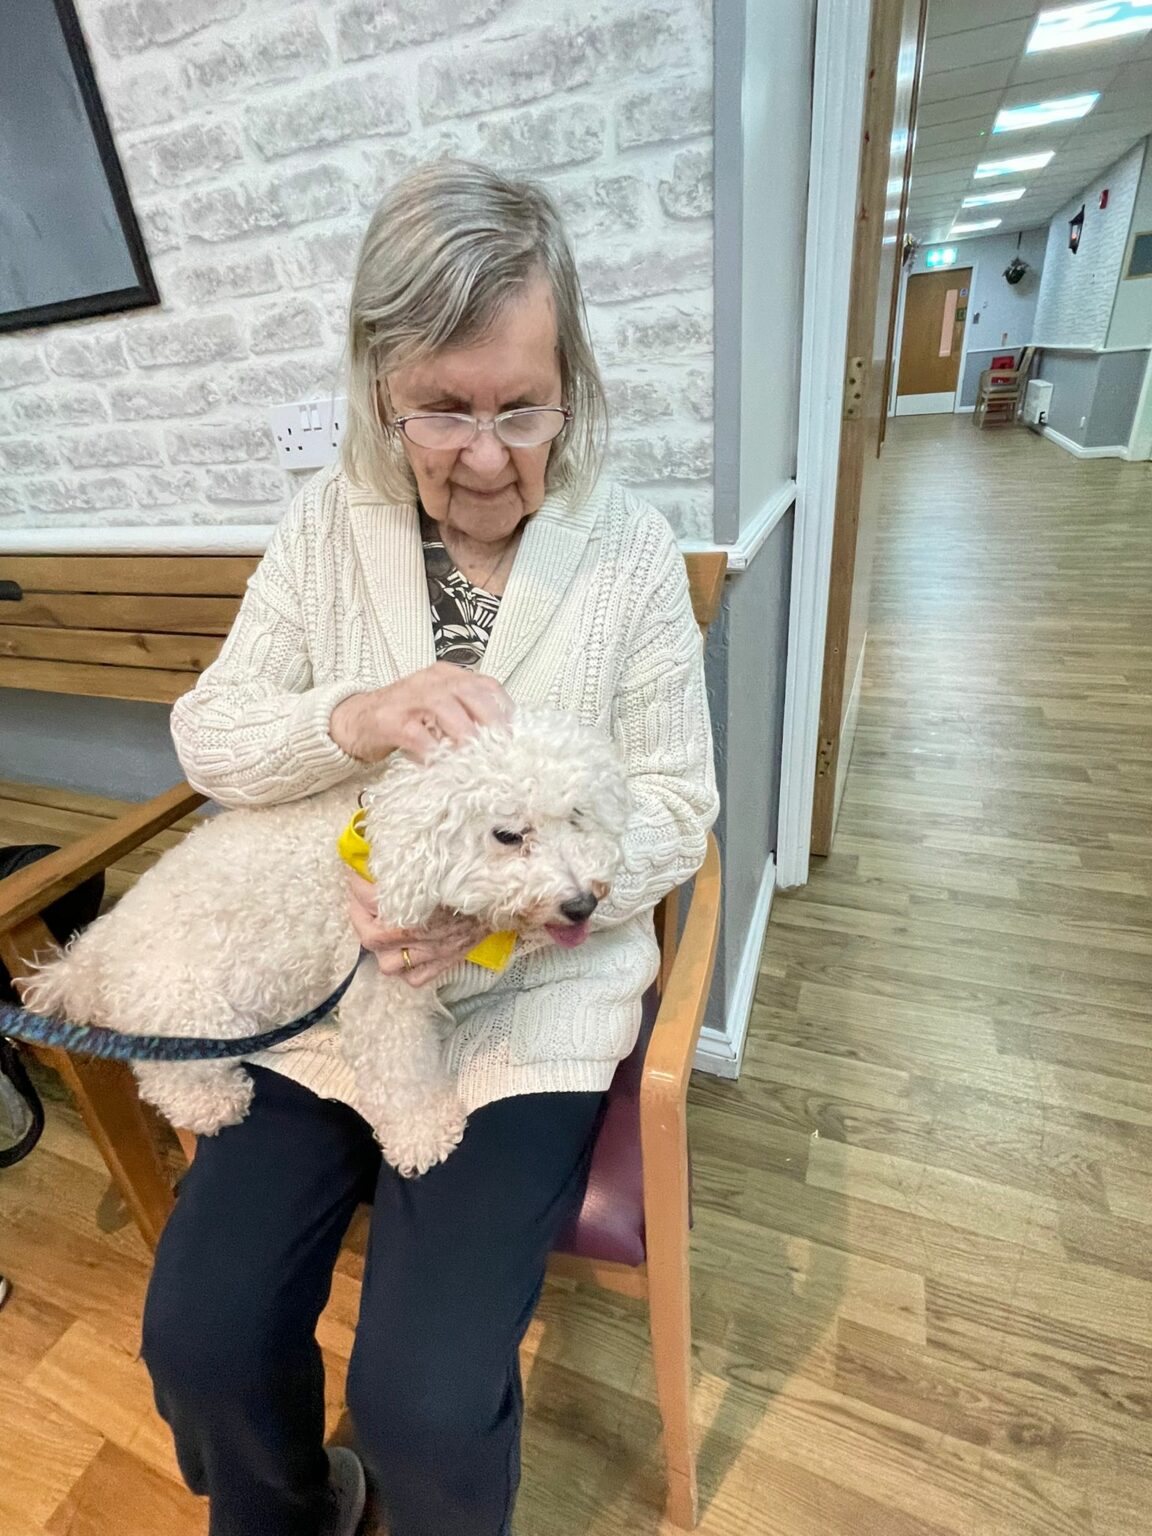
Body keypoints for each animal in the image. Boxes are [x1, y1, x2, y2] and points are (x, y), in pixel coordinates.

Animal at [22, 709, 630, 1176]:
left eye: (577, 816)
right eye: (507, 835)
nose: (583, 903)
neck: (388, 847)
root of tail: (86, 963)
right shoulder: (377, 986)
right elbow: (399, 1069)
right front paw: (422, 1134)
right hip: (187, 1007)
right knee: (165, 1070)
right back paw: (213, 1102)